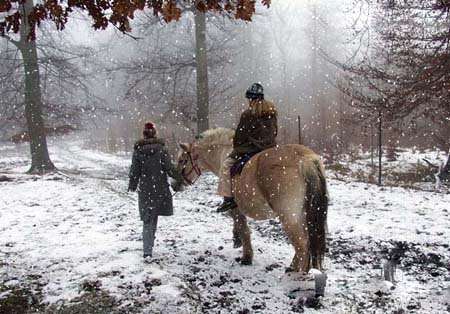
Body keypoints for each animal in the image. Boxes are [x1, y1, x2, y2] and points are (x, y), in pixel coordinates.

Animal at [178, 127, 328, 272]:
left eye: (182, 160)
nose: (176, 183)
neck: (224, 154)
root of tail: (305, 159)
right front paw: (237, 240)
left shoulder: (236, 208)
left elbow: (244, 230)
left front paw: (246, 257)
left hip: (289, 217)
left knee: (302, 244)